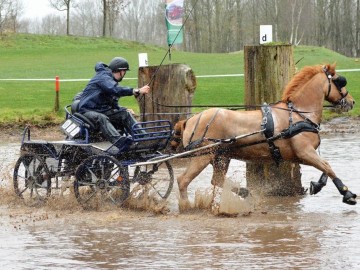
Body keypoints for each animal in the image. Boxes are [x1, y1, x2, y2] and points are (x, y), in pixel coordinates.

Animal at [172, 63, 358, 206]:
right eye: (340, 81)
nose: (352, 101)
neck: (299, 114)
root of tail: (190, 120)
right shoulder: (304, 152)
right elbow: (328, 166)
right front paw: (347, 193)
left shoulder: (300, 155)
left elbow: (325, 167)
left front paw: (318, 184)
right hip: (203, 155)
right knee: (183, 180)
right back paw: (186, 206)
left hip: (221, 157)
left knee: (216, 180)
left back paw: (244, 192)